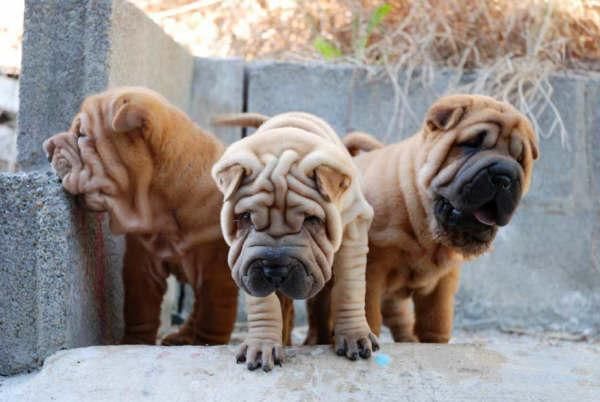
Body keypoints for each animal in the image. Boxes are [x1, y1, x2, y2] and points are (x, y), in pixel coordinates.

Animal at [42, 87, 238, 346]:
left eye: (81, 134)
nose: (46, 147)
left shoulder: (217, 272)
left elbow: (213, 316)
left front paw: (207, 345)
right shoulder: (142, 264)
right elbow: (139, 311)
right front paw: (133, 342)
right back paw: (181, 337)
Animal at [213, 111, 378, 372]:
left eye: (312, 219)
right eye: (245, 217)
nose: (274, 269)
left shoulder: (354, 223)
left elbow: (350, 287)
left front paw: (355, 336)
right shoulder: (244, 259)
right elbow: (263, 303)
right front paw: (262, 345)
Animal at [304, 93, 540, 342]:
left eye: (520, 159)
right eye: (471, 144)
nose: (504, 176)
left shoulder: (443, 281)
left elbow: (437, 320)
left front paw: (433, 342)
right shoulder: (371, 270)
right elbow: (368, 313)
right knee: (320, 313)